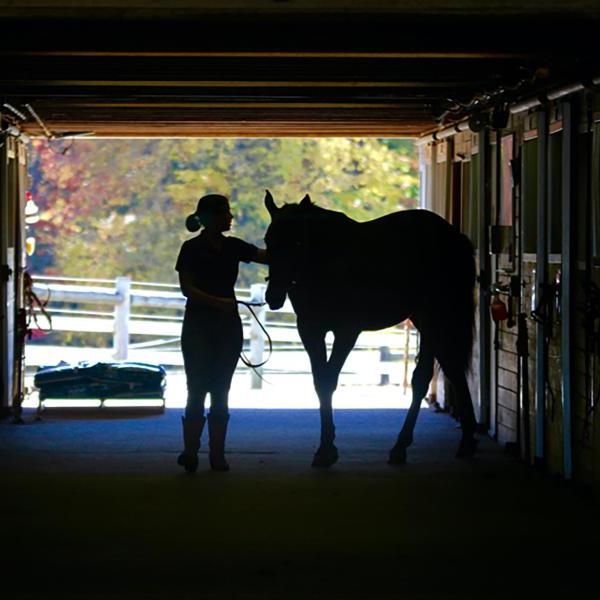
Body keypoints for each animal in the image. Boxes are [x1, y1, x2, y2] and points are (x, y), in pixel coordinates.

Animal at [264, 192, 478, 468]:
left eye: (299, 242)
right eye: (268, 241)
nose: (273, 296)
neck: (327, 262)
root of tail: (453, 236)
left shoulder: (346, 331)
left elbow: (328, 381)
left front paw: (326, 449)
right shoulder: (310, 330)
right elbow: (320, 382)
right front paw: (326, 445)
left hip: (435, 317)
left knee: (437, 372)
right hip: (425, 319)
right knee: (439, 373)